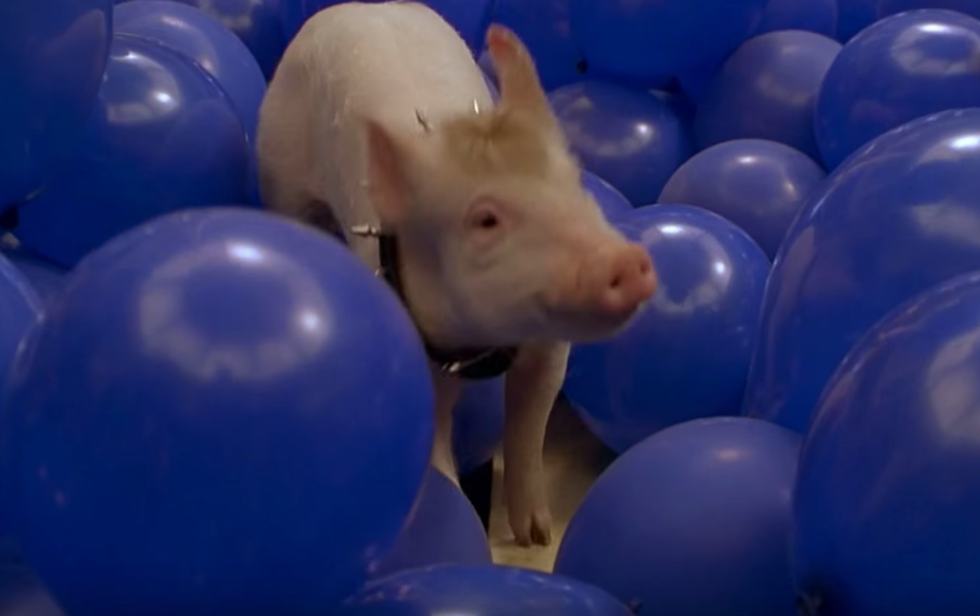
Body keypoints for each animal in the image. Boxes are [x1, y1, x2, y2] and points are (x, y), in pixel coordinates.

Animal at [256, 1, 657, 547]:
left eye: (575, 185)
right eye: (485, 220)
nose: (625, 261)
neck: (483, 345)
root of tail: (360, 7)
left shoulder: (550, 349)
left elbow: (530, 422)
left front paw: (536, 536)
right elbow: (438, 457)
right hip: (278, 171)